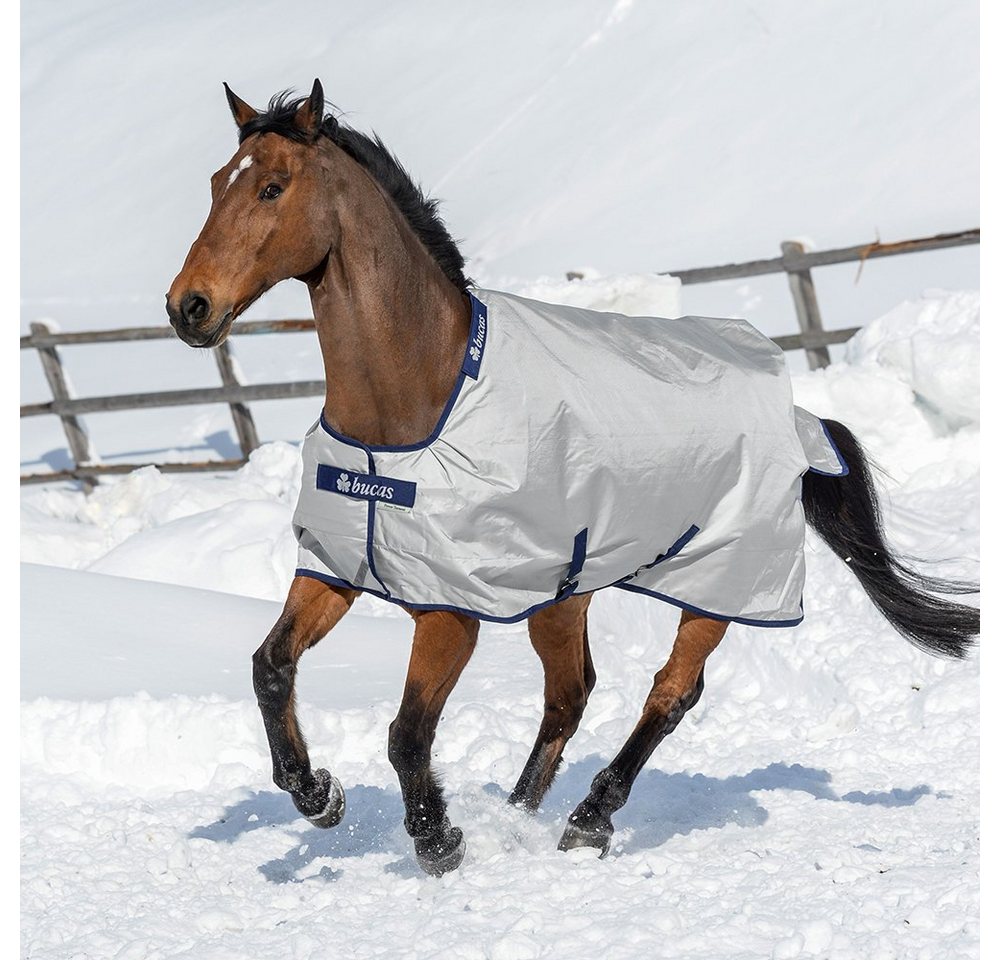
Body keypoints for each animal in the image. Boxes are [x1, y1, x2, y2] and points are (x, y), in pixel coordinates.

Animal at [166, 79, 979, 876]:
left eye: (272, 187)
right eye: (213, 184)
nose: (188, 307)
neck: (416, 402)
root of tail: (797, 413)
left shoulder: (451, 610)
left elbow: (407, 731)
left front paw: (438, 841)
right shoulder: (338, 568)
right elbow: (270, 667)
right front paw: (318, 796)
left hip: (719, 584)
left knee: (670, 691)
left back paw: (587, 821)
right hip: (565, 592)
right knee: (570, 695)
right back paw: (518, 819)